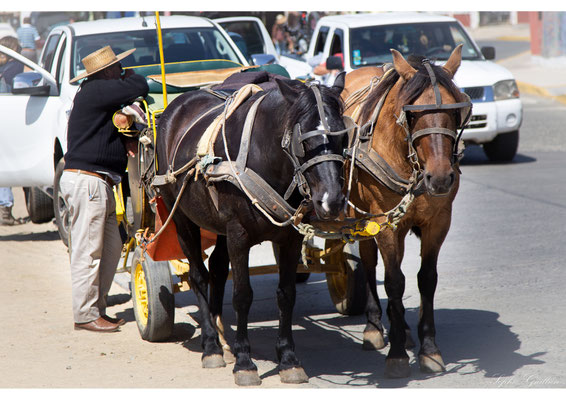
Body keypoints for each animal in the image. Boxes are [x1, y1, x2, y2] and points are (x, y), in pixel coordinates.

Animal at [156, 73, 350, 386]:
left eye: (343, 136)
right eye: (303, 141)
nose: (331, 201)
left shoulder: (290, 238)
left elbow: (286, 294)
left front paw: (288, 359)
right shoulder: (238, 236)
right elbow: (242, 295)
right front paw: (245, 362)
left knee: (217, 269)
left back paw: (222, 339)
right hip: (181, 216)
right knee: (199, 275)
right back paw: (211, 345)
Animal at [344, 46, 472, 378]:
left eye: (455, 111)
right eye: (410, 114)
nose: (440, 178)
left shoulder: (439, 221)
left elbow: (426, 278)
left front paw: (428, 348)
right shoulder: (383, 223)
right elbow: (393, 281)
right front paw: (397, 354)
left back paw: (401, 328)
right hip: (361, 217)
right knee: (370, 263)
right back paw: (375, 326)